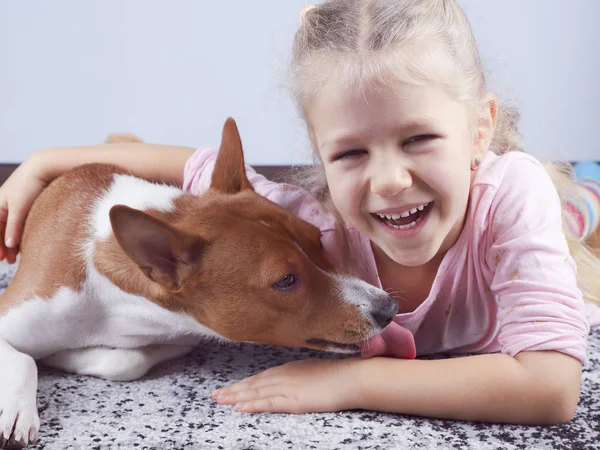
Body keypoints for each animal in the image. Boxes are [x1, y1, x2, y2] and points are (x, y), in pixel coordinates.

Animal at [0, 118, 398, 448]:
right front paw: (19, 408)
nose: (389, 308)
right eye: (285, 280)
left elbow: (127, 360)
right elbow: (24, 360)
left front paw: (68, 356)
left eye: (319, 241)